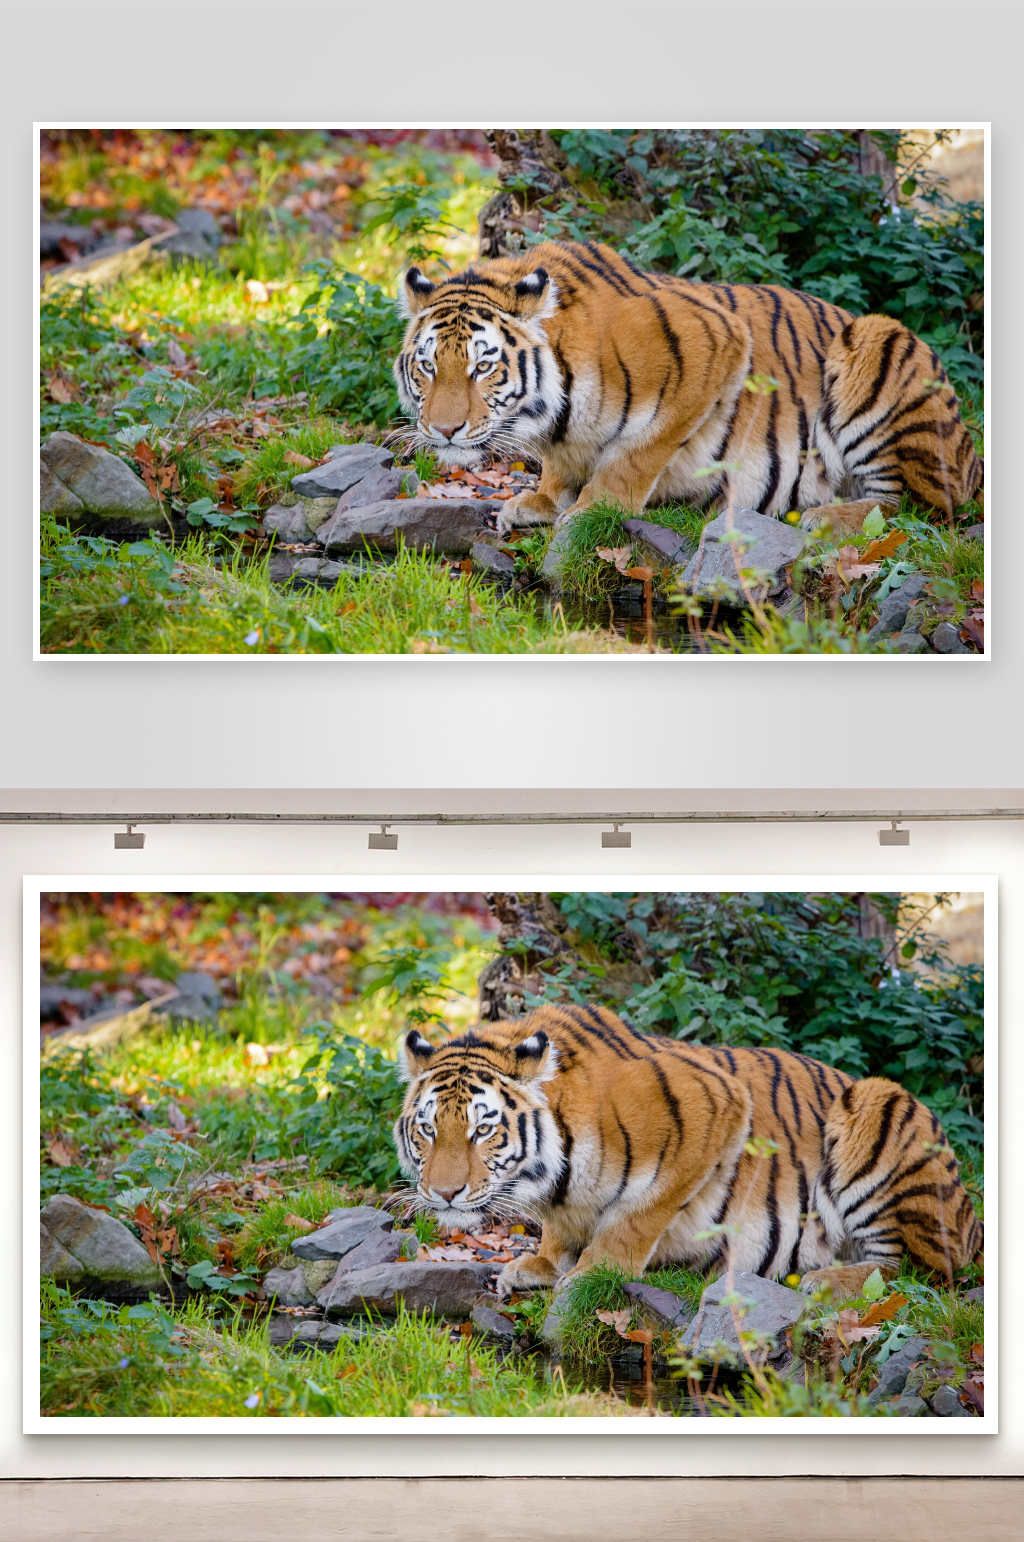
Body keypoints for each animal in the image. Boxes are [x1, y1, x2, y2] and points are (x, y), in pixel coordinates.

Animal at [393, 239, 982, 541]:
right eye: (427, 366)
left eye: (482, 367)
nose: (445, 430)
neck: (555, 413)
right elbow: (564, 465)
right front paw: (539, 500)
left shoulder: (716, 344)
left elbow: (635, 453)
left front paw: (589, 510)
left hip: (881, 345)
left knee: (919, 507)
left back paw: (824, 517)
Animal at [393, 1003, 982, 1303]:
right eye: (427, 1129)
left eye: (482, 1130)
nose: (445, 1193)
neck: (555, 1177)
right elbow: (565, 1229)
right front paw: (539, 1263)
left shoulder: (716, 1107)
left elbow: (636, 1216)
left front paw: (590, 1273)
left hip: (881, 1108)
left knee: (919, 1270)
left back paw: (824, 1280)